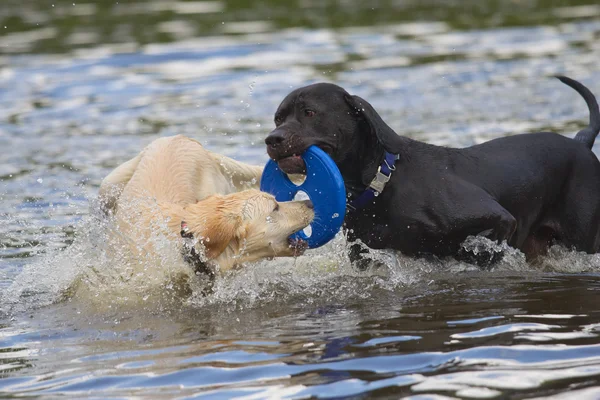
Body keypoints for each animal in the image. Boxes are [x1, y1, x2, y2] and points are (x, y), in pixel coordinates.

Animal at [264, 77, 600, 266]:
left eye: (309, 113)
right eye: (278, 118)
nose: (273, 139)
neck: (382, 183)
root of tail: (580, 142)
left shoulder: (500, 221)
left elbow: (480, 253)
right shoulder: (364, 254)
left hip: (583, 239)